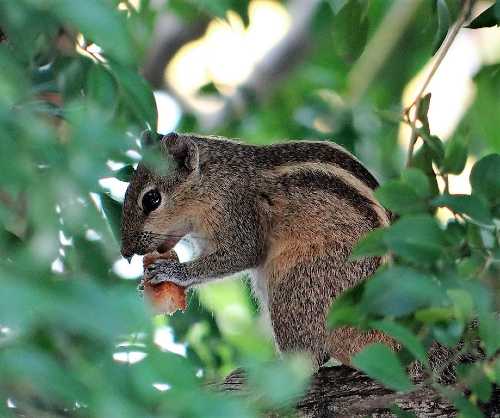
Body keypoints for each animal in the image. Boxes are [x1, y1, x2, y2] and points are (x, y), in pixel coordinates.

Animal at [121, 132, 394, 368]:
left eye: (152, 199)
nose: (126, 252)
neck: (213, 179)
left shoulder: (239, 215)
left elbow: (238, 255)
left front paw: (171, 271)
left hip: (299, 286)